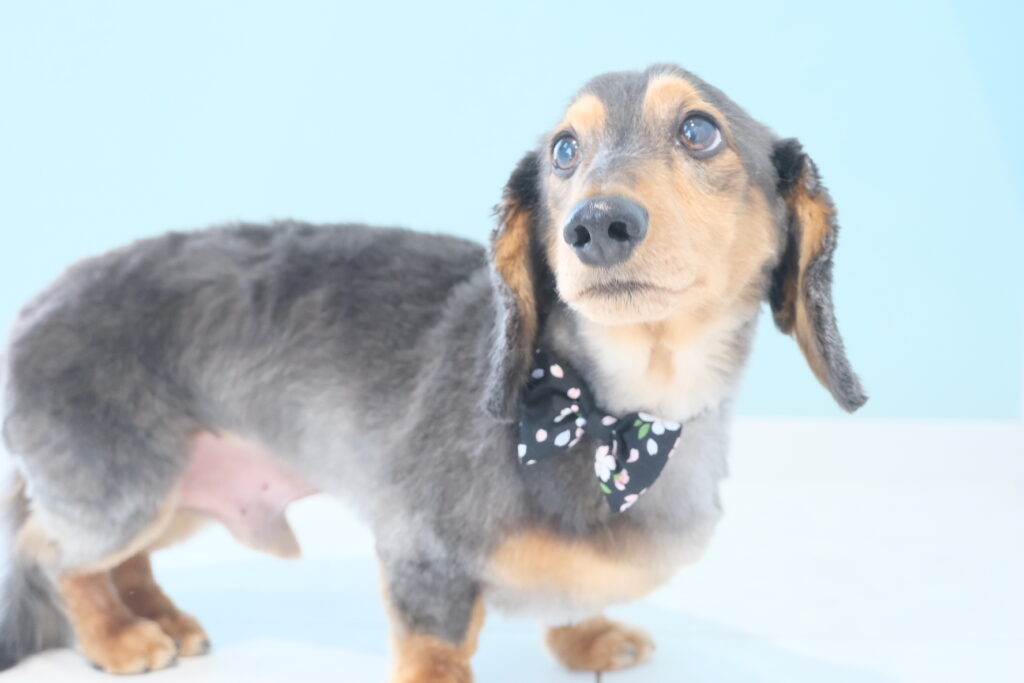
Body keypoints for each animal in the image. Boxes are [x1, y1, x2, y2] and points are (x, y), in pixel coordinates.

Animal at [0, 64, 865, 680]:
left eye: (699, 131)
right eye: (564, 151)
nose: (597, 224)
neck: (610, 410)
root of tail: (34, 306)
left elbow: (572, 596)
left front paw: (585, 636)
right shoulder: (422, 553)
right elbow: (438, 646)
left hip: (173, 491)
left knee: (118, 556)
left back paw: (158, 616)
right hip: (126, 484)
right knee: (51, 549)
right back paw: (118, 635)